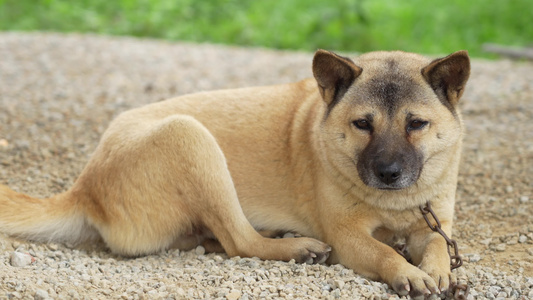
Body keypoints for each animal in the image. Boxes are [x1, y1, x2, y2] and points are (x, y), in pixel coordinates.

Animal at [0, 49, 468, 298]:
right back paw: (294, 247)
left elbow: (438, 247)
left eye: (416, 124)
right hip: (191, 137)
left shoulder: (434, 224)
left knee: (217, 239)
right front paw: (408, 271)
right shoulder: (348, 236)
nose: (388, 173)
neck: (396, 203)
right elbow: (384, 253)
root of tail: (84, 186)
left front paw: (438, 270)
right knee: (240, 241)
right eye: (362, 124)